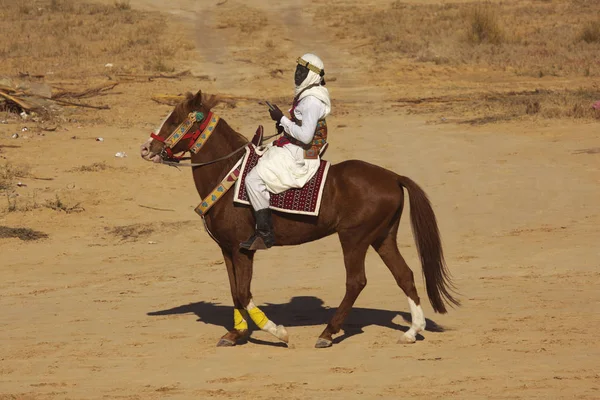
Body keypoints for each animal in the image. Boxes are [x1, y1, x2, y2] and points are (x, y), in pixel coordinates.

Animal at [141, 90, 460, 346]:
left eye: (174, 120)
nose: (146, 148)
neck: (228, 172)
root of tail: (393, 177)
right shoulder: (227, 249)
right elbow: (234, 291)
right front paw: (236, 333)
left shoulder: (242, 250)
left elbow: (243, 292)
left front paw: (276, 331)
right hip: (382, 238)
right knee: (404, 275)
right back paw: (412, 330)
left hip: (354, 238)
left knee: (356, 281)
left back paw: (328, 332)